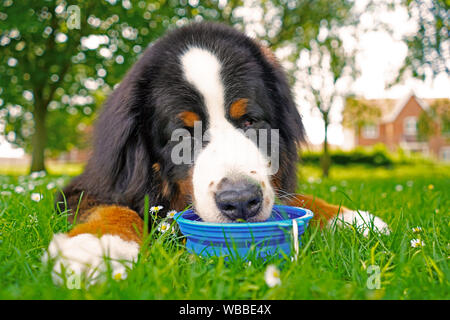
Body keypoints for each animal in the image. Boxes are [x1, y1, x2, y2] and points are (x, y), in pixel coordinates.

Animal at [44, 21, 390, 282]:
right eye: (183, 133)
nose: (241, 202)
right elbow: (114, 209)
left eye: (249, 121)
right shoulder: (87, 188)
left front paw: (350, 217)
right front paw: (96, 246)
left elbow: (297, 199)